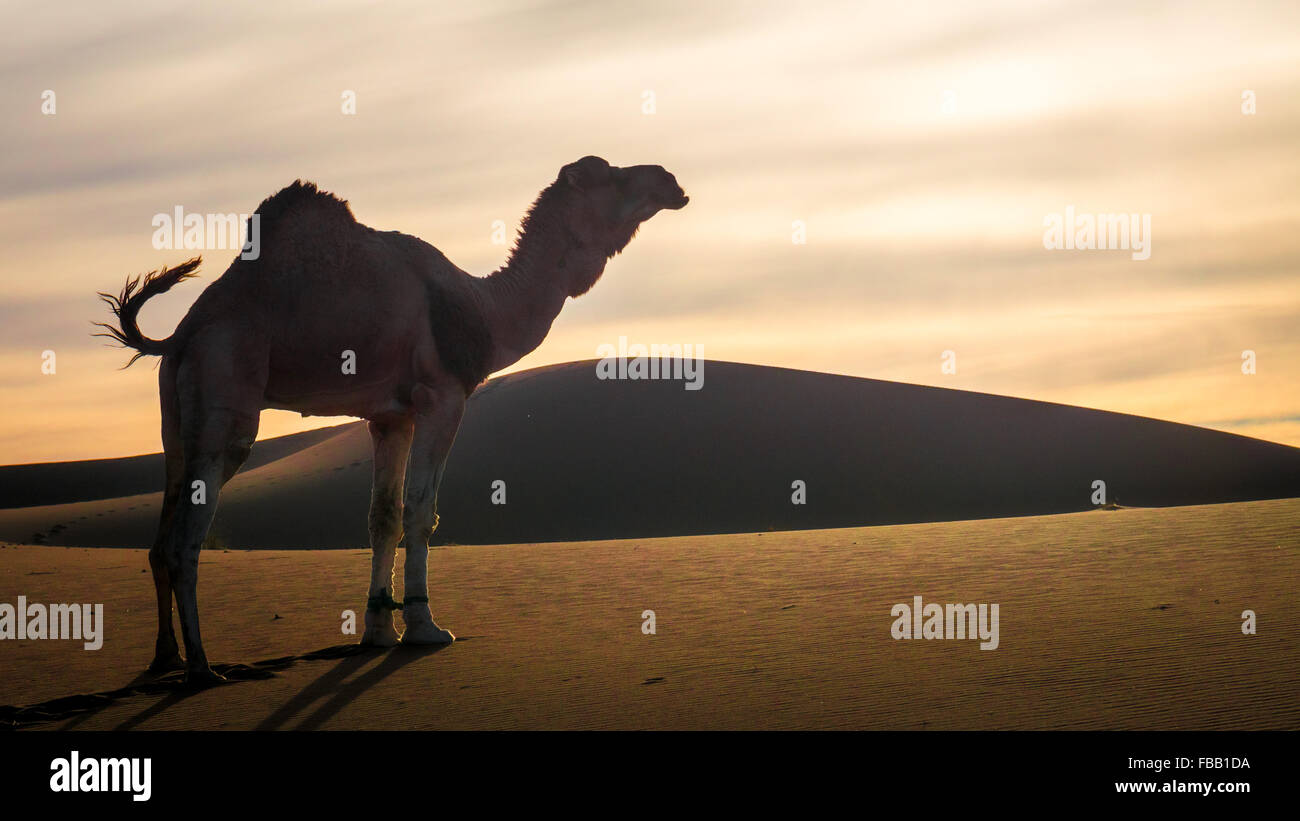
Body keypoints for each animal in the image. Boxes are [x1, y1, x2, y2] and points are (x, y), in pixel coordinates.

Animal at [94, 155, 691, 685]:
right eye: (609, 175)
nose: (670, 180)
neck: (482, 307)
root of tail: (180, 334)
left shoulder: (389, 417)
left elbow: (381, 515)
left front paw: (379, 630)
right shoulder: (443, 396)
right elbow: (420, 510)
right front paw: (426, 627)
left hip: (176, 413)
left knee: (161, 533)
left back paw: (164, 659)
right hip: (226, 389)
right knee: (186, 541)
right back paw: (202, 667)